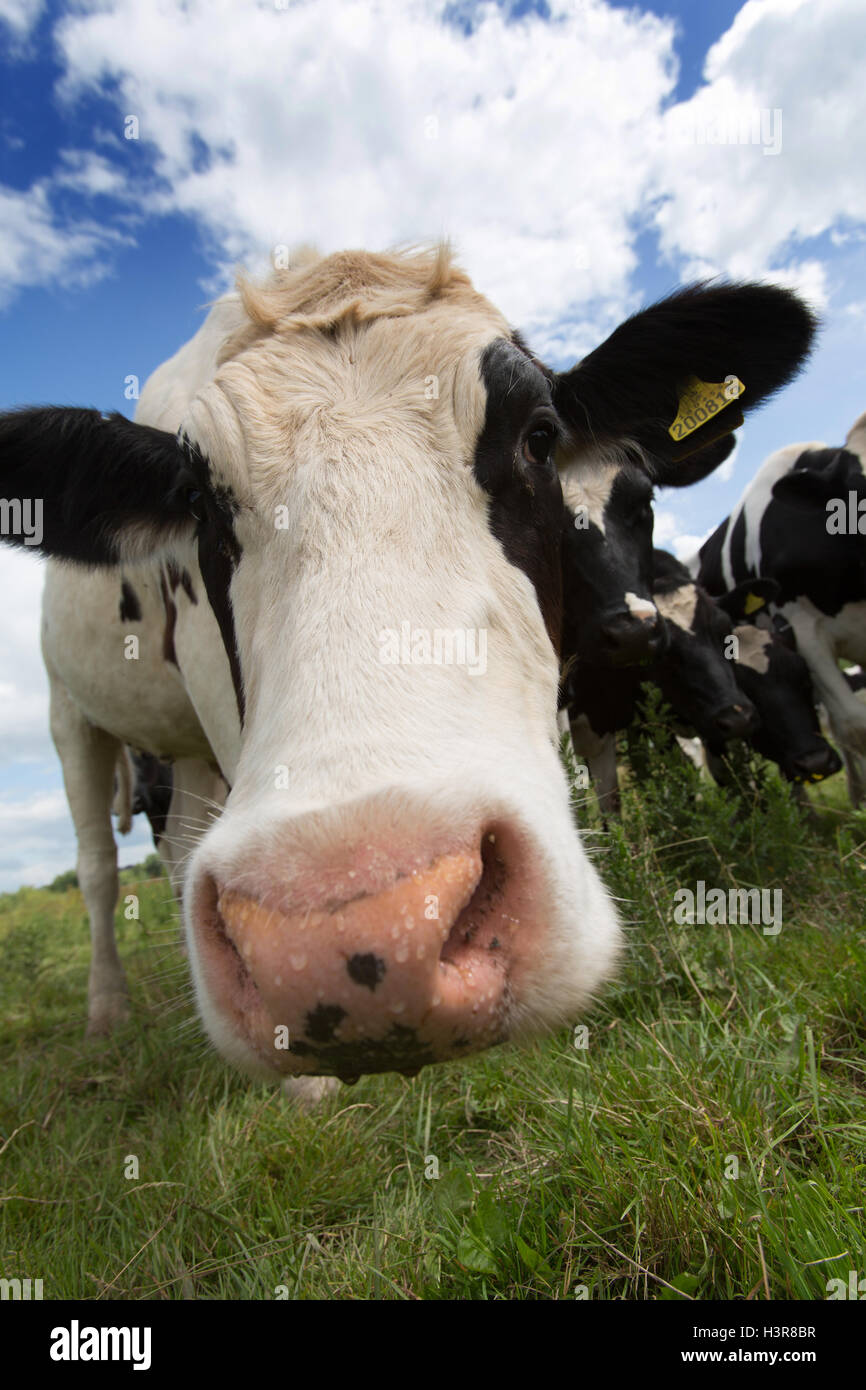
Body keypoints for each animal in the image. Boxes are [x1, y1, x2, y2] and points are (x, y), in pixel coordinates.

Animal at [0, 244, 817, 1078]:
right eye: (196, 497)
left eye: (540, 436)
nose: (355, 934)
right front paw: (306, 1088)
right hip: (69, 712)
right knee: (100, 865)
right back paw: (107, 1009)